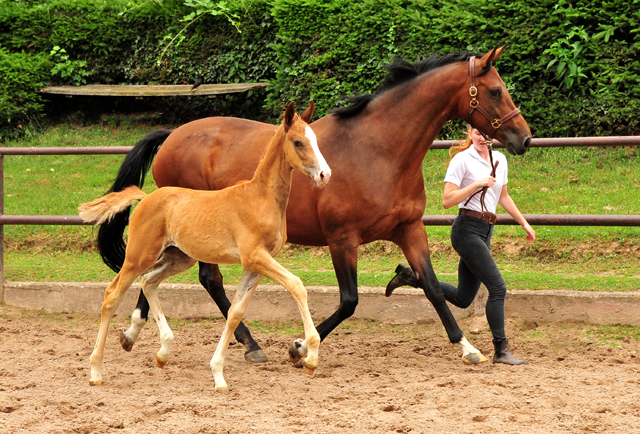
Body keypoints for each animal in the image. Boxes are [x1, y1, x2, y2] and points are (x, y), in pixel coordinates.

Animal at [79, 101, 330, 390]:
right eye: (298, 142)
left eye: (316, 140)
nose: (324, 175)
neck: (260, 198)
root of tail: (146, 197)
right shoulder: (255, 257)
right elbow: (296, 285)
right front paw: (310, 357)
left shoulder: (255, 265)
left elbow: (235, 312)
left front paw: (218, 373)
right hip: (138, 256)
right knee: (112, 294)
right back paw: (96, 371)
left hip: (178, 257)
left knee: (149, 281)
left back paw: (163, 353)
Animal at [97, 47, 532, 366]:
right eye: (495, 90)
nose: (524, 138)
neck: (379, 149)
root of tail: (172, 135)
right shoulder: (343, 238)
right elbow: (349, 301)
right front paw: (300, 348)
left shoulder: (409, 229)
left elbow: (433, 288)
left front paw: (468, 348)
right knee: (201, 279)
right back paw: (247, 343)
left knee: (157, 275)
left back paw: (134, 333)